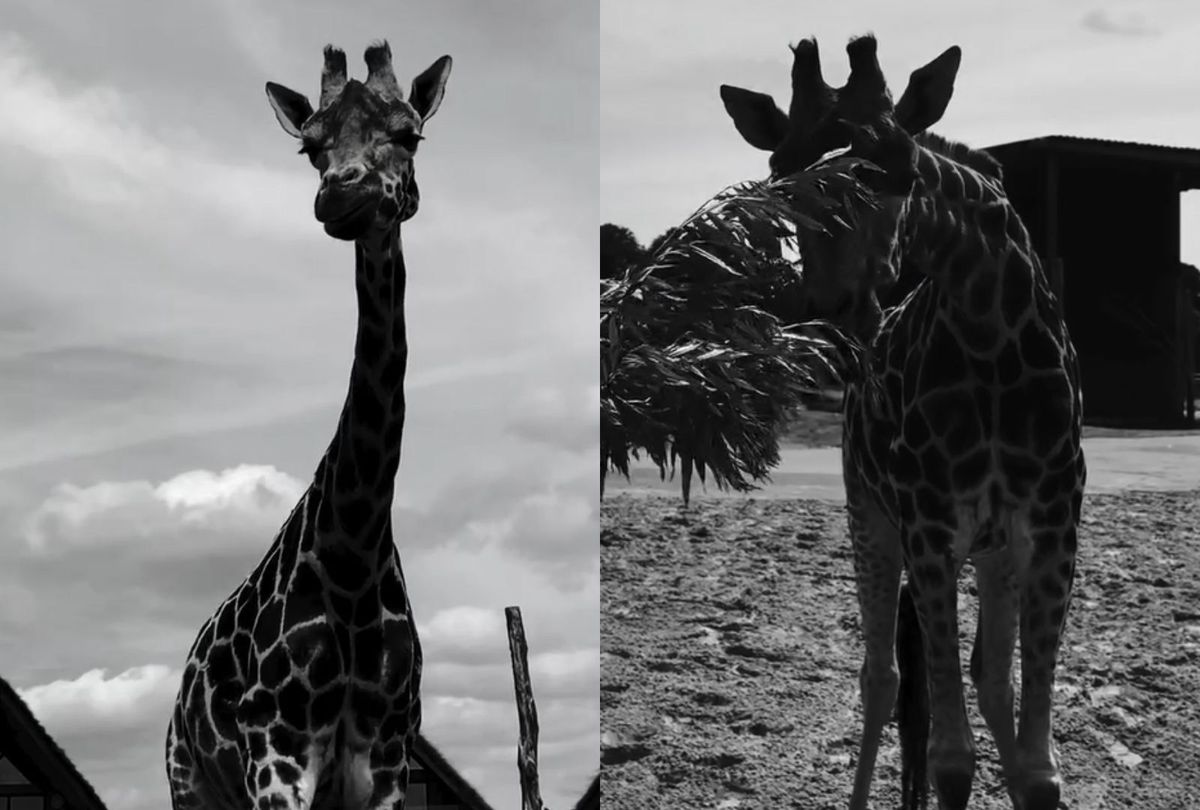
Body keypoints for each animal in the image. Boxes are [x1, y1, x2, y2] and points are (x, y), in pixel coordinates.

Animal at [164, 42, 451, 810]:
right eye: (309, 146)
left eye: (409, 133)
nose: (341, 197)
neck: (353, 555)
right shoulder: (276, 750)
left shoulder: (386, 758)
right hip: (190, 782)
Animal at [721, 35, 1085, 810]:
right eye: (780, 176)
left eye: (897, 165)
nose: (833, 307)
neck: (989, 332)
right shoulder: (929, 527)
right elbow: (951, 761)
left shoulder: (1050, 528)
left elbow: (1039, 771)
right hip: (870, 516)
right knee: (881, 678)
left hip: (991, 551)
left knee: (989, 679)